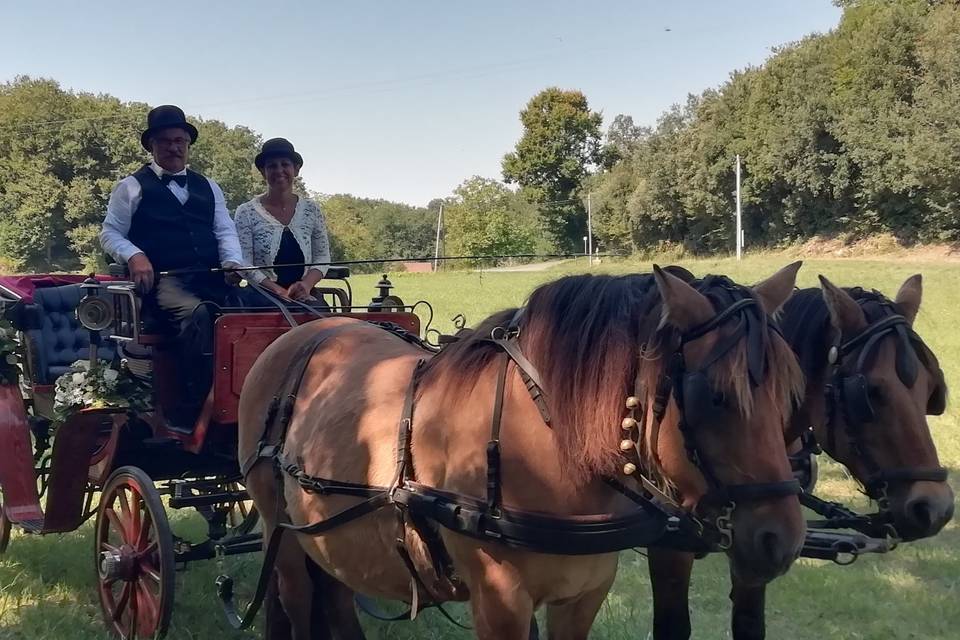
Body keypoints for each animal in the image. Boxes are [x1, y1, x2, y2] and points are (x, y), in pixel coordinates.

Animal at [236, 262, 808, 636]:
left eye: (788, 395)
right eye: (715, 397)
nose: (781, 540)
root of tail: (303, 331)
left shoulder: (583, 594)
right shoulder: (500, 602)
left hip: (327, 530)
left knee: (335, 595)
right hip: (280, 530)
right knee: (297, 597)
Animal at [644, 274, 952, 640]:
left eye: (931, 390)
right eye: (871, 392)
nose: (937, 507)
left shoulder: (758, 544)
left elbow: (750, 622)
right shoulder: (669, 545)